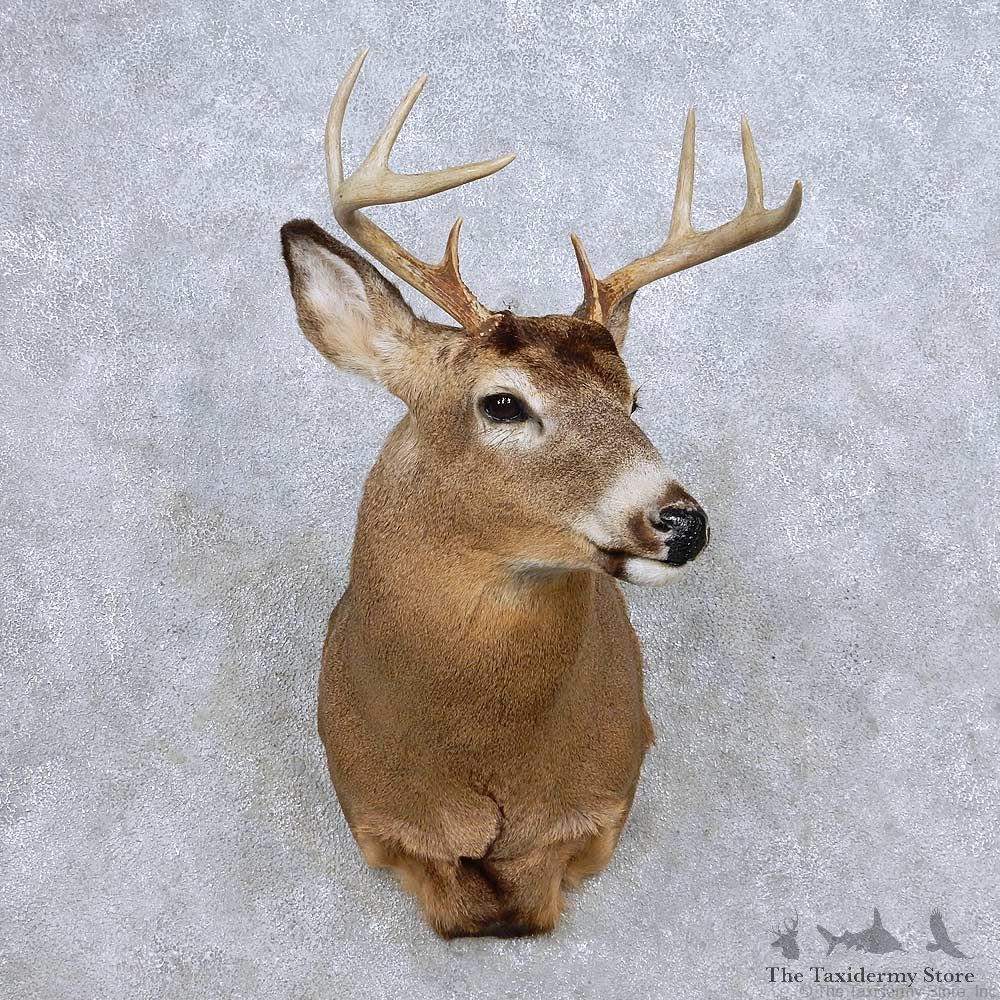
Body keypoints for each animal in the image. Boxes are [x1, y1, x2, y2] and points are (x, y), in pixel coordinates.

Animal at [280, 48, 801, 939]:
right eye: (503, 402)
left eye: (633, 399)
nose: (681, 521)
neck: (486, 752)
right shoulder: (373, 816)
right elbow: (453, 902)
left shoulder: (607, 796)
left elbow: (535, 895)